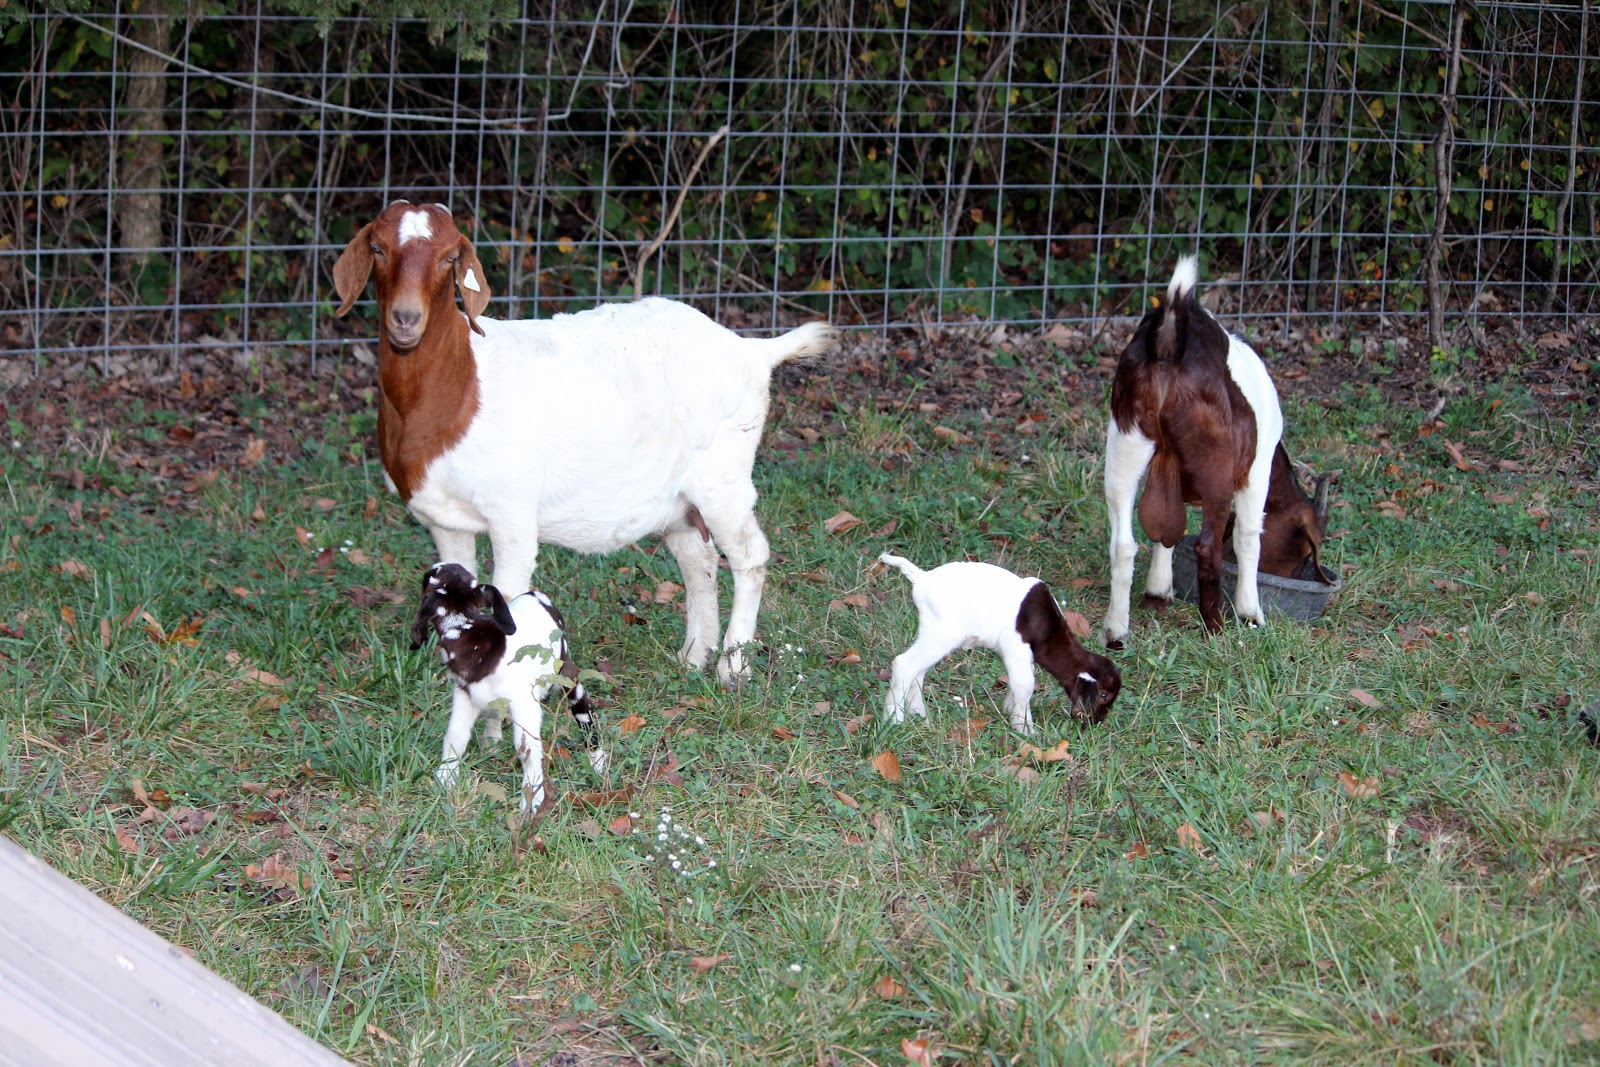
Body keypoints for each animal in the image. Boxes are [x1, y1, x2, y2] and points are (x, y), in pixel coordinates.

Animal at [334, 201, 839, 688]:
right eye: (377, 248)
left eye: (449, 257)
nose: (406, 319)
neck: (459, 383)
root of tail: (750, 350)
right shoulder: (444, 520)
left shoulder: (511, 514)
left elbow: (508, 595)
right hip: (676, 498)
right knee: (699, 560)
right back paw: (694, 655)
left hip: (724, 473)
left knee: (750, 556)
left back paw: (732, 668)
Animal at [410, 562, 607, 812]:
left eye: (429, 577)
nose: (434, 565)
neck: (467, 629)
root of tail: (539, 596)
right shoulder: (465, 694)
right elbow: (455, 735)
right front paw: (445, 780)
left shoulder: (524, 703)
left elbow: (528, 749)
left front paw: (532, 801)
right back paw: (491, 745)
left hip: (564, 673)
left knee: (584, 713)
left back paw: (597, 763)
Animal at [879, 553, 1121, 735]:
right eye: (1103, 695)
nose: (1097, 721)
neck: (1050, 629)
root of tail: (923, 578)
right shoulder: (1016, 646)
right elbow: (1025, 685)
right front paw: (1026, 730)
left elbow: (1019, 684)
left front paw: (1010, 711)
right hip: (942, 634)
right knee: (904, 664)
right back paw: (894, 720)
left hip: (932, 633)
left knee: (917, 672)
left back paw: (920, 715)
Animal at [1101, 256, 1324, 646]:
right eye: (1302, 551)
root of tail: (1170, 338)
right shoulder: (1256, 471)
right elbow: (1249, 536)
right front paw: (1251, 613)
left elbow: (1169, 530)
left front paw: (1158, 592)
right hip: (1216, 469)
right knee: (1209, 546)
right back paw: (1216, 628)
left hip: (1125, 444)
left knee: (1123, 544)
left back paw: (1116, 630)